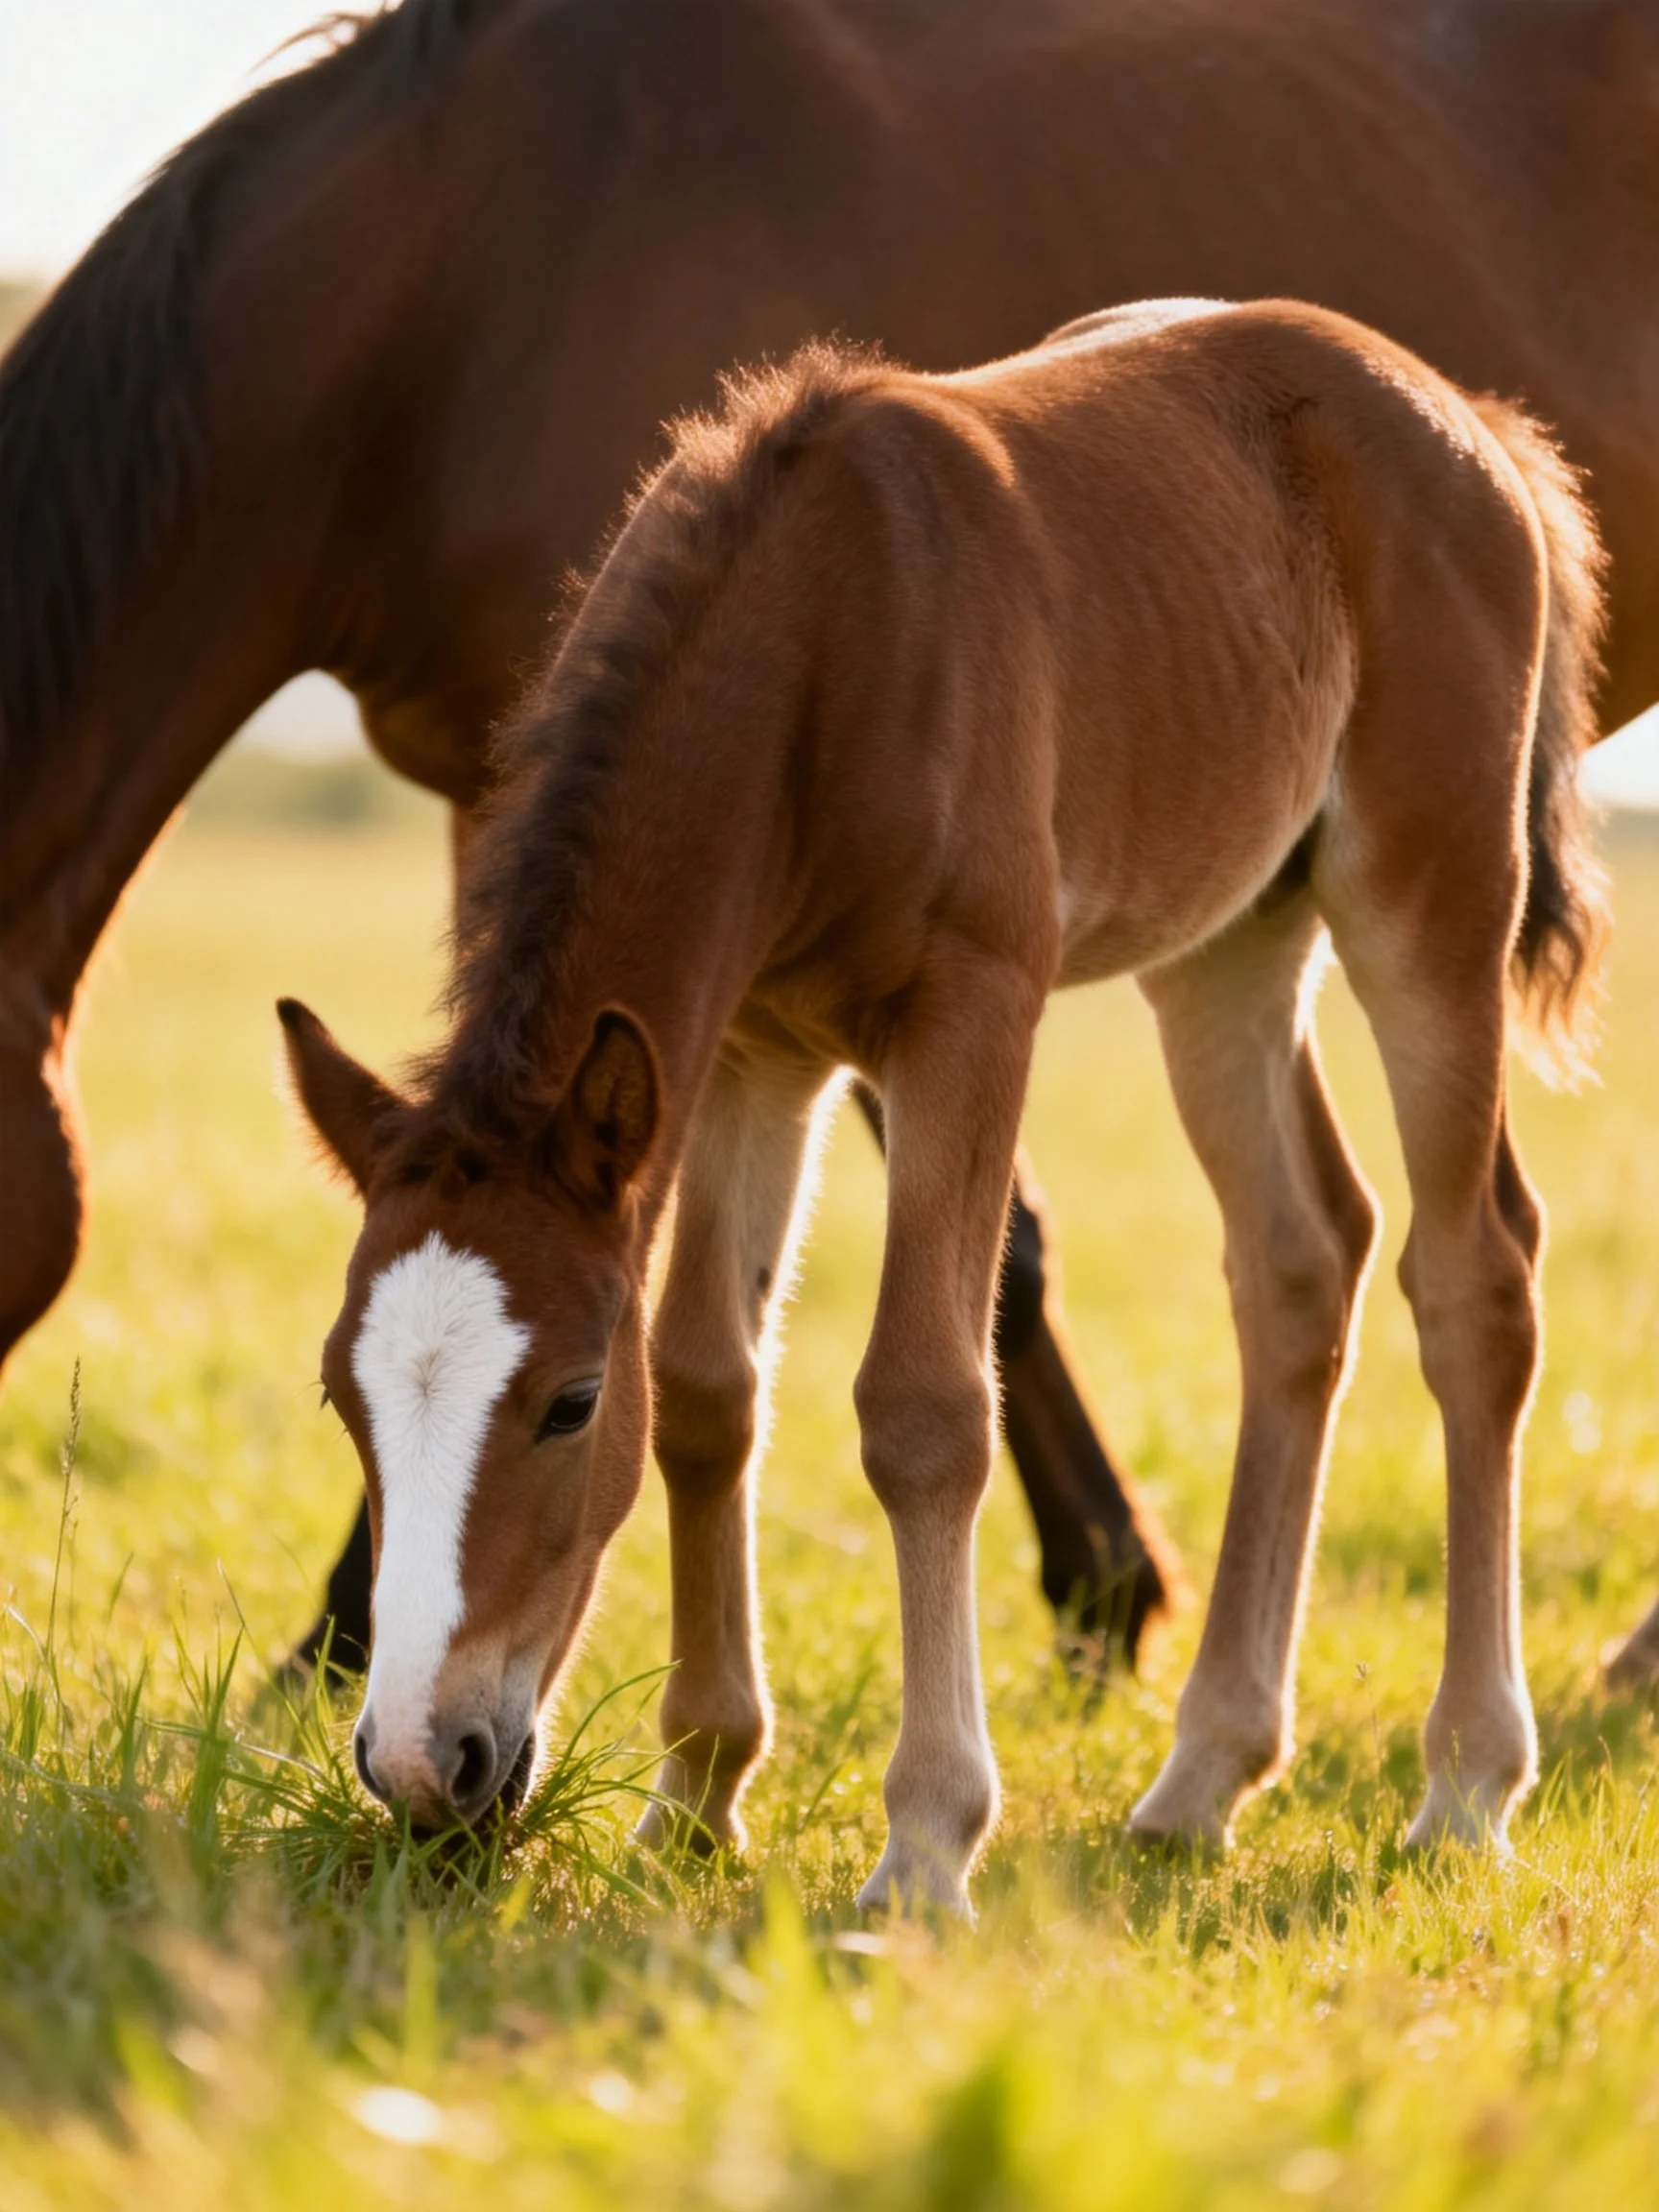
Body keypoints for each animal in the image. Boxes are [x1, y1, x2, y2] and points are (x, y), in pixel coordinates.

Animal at [278, 299, 1606, 1911]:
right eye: (340, 1393)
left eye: (569, 1403)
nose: (426, 1767)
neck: (820, 639)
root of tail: (1472, 421)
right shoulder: (750, 1046)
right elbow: (711, 1388)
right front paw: (696, 1796)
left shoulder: (974, 1007)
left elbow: (920, 1405)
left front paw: (924, 1841)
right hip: (1229, 943)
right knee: (1302, 1260)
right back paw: (1204, 1776)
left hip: (1431, 894)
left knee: (1475, 1276)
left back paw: (1468, 1781)